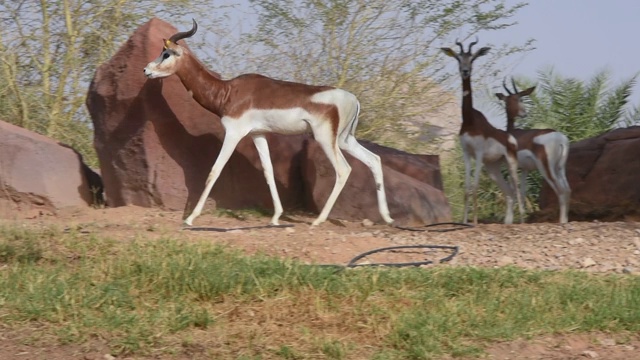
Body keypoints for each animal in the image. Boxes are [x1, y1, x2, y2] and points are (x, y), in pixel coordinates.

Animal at [144, 19, 392, 225]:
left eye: (166, 53)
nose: (146, 70)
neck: (227, 92)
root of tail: (354, 99)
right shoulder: (258, 134)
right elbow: (268, 171)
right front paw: (275, 217)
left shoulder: (234, 133)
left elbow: (215, 170)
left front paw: (190, 218)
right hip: (343, 140)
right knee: (374, 160)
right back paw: (387, 217)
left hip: (325, 139)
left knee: (343, 169)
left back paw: (318, 220)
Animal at [440, 40, 524, 225]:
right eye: (458, 58)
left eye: (472, 58)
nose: (465, 71)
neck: (470, 121)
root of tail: (510, 137)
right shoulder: (466, 153)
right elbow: (466, 188)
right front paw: (464, 222)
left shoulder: (478, 154)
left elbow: (475, 186)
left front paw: (475, 222)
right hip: (493, 169)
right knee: (509, 192)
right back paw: (508, 222)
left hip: (511, 163)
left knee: (517, 188)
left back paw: (522, 220)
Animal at [496, 79, 568, 222]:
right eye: (513, 99)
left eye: (520, 98)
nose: (524, 113)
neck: (513, 133)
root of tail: (560, 139)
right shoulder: (525, 170)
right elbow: (523, 193)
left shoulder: (511, 167)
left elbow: (514, 191)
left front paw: (510, 221)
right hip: (560, 168)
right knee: (568, 189)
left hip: (546, 169)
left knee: (561, 190)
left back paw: (561, 221)